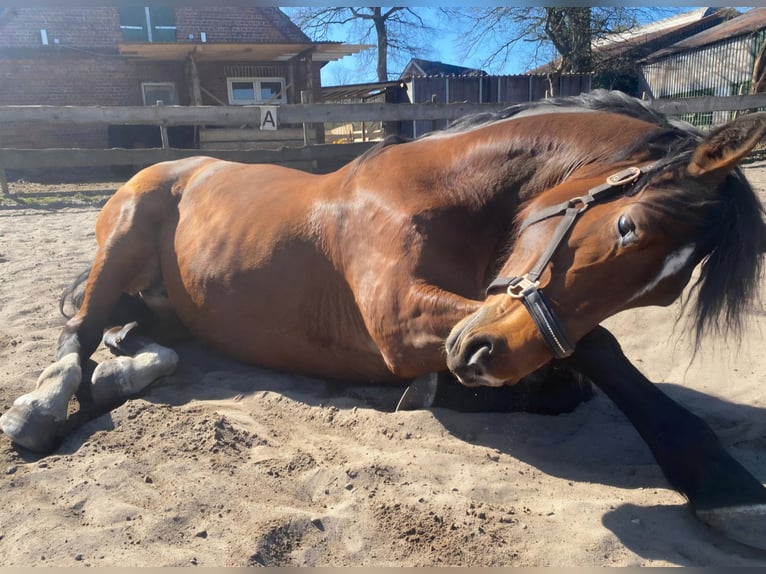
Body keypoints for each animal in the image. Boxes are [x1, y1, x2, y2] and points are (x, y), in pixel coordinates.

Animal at [2, 90, 766, 549]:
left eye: (663, 297)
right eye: (629, 227)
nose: (479, 355)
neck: (444, 191)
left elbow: (569, 368)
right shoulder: (400, 319)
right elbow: (594, 348)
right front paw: (724, 483)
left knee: (133, 341)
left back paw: (118, 379)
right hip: (126, 232)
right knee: (78, 335)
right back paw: (40, 410)